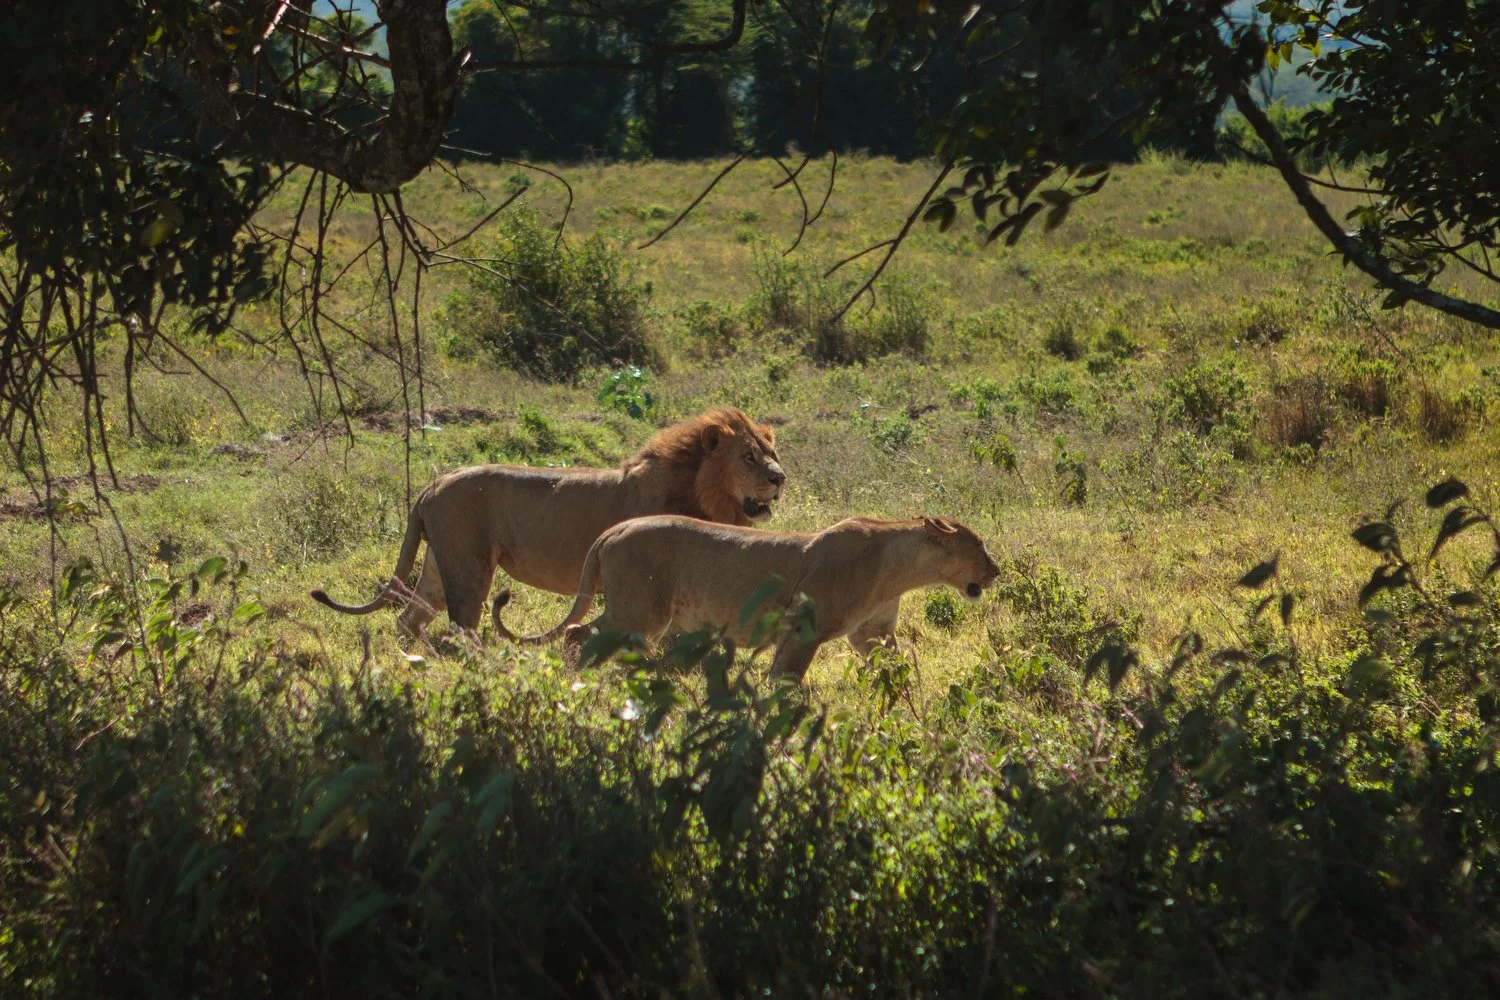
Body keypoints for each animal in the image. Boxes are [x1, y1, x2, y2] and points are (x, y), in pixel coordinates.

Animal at [309, 407, 785, 638]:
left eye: (772, 453)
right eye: (749, 457)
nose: (780, 478)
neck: (700, 487)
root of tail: (431, 484)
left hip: (440, 564)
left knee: (411, 618)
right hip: (469, 566)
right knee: (461, 626)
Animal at [493, 514, 999, 683]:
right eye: (978, 547)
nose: (996, 572)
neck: (900, 571)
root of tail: (613, 529)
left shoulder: (871, 635)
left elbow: (893, 666)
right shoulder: (805, 626)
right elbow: (785, 679)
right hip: (640, 611)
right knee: (578, 633)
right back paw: (577, 684)